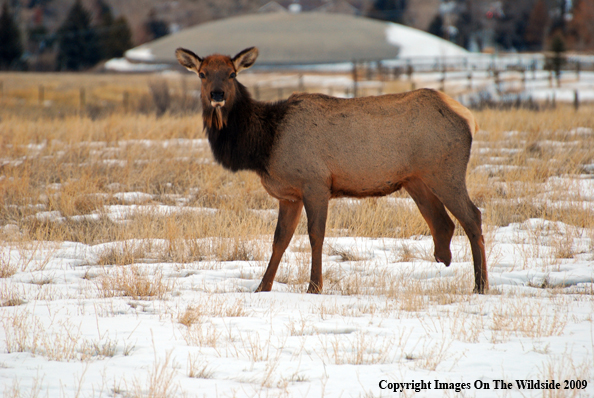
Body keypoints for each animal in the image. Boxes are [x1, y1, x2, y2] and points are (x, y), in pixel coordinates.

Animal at [175, 47, 486, 296]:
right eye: (202, 74)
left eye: (231, 73)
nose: (217, 95)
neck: (264, 144)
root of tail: (469, 118)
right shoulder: (289, 195)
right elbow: (279, 240)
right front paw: (262, 287)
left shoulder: (315, 182)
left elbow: (315, 235)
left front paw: (314, 286)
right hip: (416, 179)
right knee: (444, 223)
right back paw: (445, 258)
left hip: (446, 171)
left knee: (472, 216)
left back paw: (480, 284)